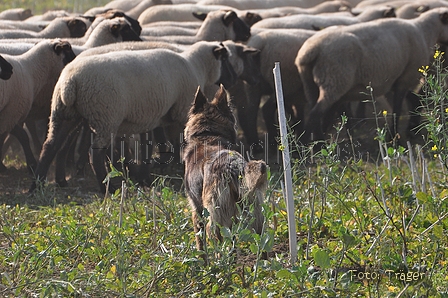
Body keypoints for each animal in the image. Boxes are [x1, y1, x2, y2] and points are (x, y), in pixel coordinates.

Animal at [0, 38, 75, 172]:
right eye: (69, 54)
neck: (32, 71)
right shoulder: (10, 113)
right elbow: (23, 136)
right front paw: (32, 165)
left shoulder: (10, 114)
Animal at [30, 40, 242, 193]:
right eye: (225, 59)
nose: (234, 80)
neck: (195, 66)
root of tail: (70, 82)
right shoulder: (180, 113)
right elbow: (176, 142)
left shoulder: (151, 116)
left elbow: (150, 145)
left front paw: (146, 176)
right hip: (105, 115)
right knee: (95, 153)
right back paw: (106, 187)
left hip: (63, 113)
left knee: (51, 145)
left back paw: (38, 185)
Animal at [184, 85, 268, 255]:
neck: (208, 135)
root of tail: (233, 166)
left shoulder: (197, 210)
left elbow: (200, 245)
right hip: (255, 216)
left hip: (215, 219)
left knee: (218, 245)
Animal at [296, 6, 448, 142]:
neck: (424, 32)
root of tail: (311, 50)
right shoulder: (405, 78)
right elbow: (397, 109)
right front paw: (393, 137)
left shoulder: (395, 80)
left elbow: (413, 100)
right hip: (334, 81)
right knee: (315, 114)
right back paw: (318, 145)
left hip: (312, 84)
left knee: (315, 112)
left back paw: (312, 142)